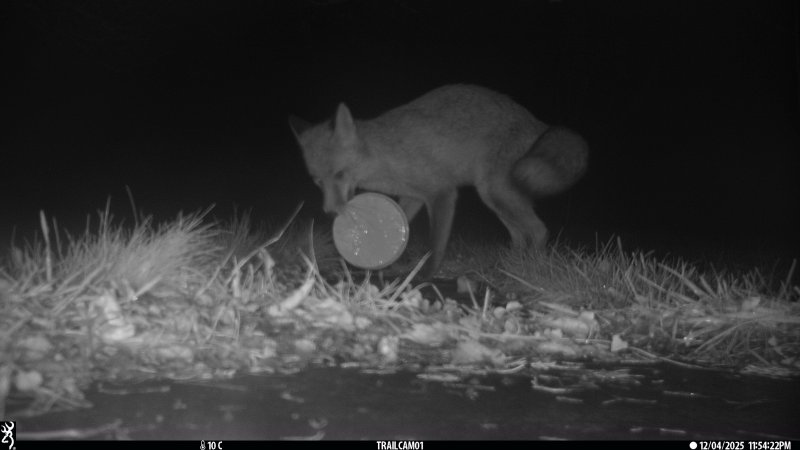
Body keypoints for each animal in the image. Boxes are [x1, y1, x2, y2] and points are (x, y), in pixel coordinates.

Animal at [289, 84, 588, 277]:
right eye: (317, 181)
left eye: (339, 175)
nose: (330, 212)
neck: (384, 157)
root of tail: (539, 123)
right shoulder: (412, 196)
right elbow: (400, 222)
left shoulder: (441, 192)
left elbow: (435, 243)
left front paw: (427, 274)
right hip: (496, 198)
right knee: (519, 234)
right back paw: (509, 266)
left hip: (496, 191)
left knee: (538, 230)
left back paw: (530, 269)